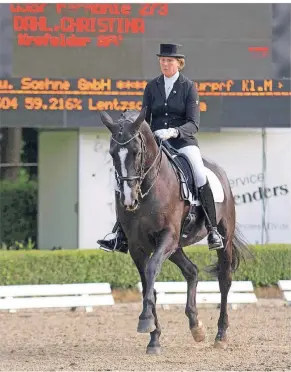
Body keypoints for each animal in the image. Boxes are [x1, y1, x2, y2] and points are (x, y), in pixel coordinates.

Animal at [99, 106, 250, 354]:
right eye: (112, 153)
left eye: (136, 152)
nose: (129, 200)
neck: (148, 188)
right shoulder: (138, 247)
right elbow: (148, 285)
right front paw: (154, 337)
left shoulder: (167, 237)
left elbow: (151, 271)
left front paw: (145, 320)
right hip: (176, 246)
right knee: (192, 271)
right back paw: (196, 326)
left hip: (221, 238)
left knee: (224, 279)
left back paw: (220, 334)